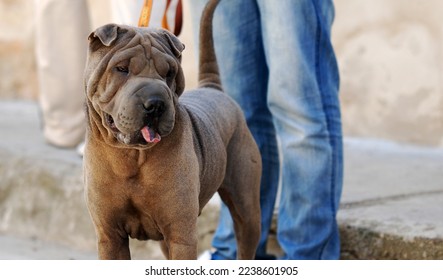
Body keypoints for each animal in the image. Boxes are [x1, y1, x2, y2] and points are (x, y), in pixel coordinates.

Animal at [83, 0, 262, 260]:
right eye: (122, 68)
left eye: (169, 73)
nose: (156, 103)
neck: (131, 156)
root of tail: (212, 88)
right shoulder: (110, 236)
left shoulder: (181, 235)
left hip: (246, 208)